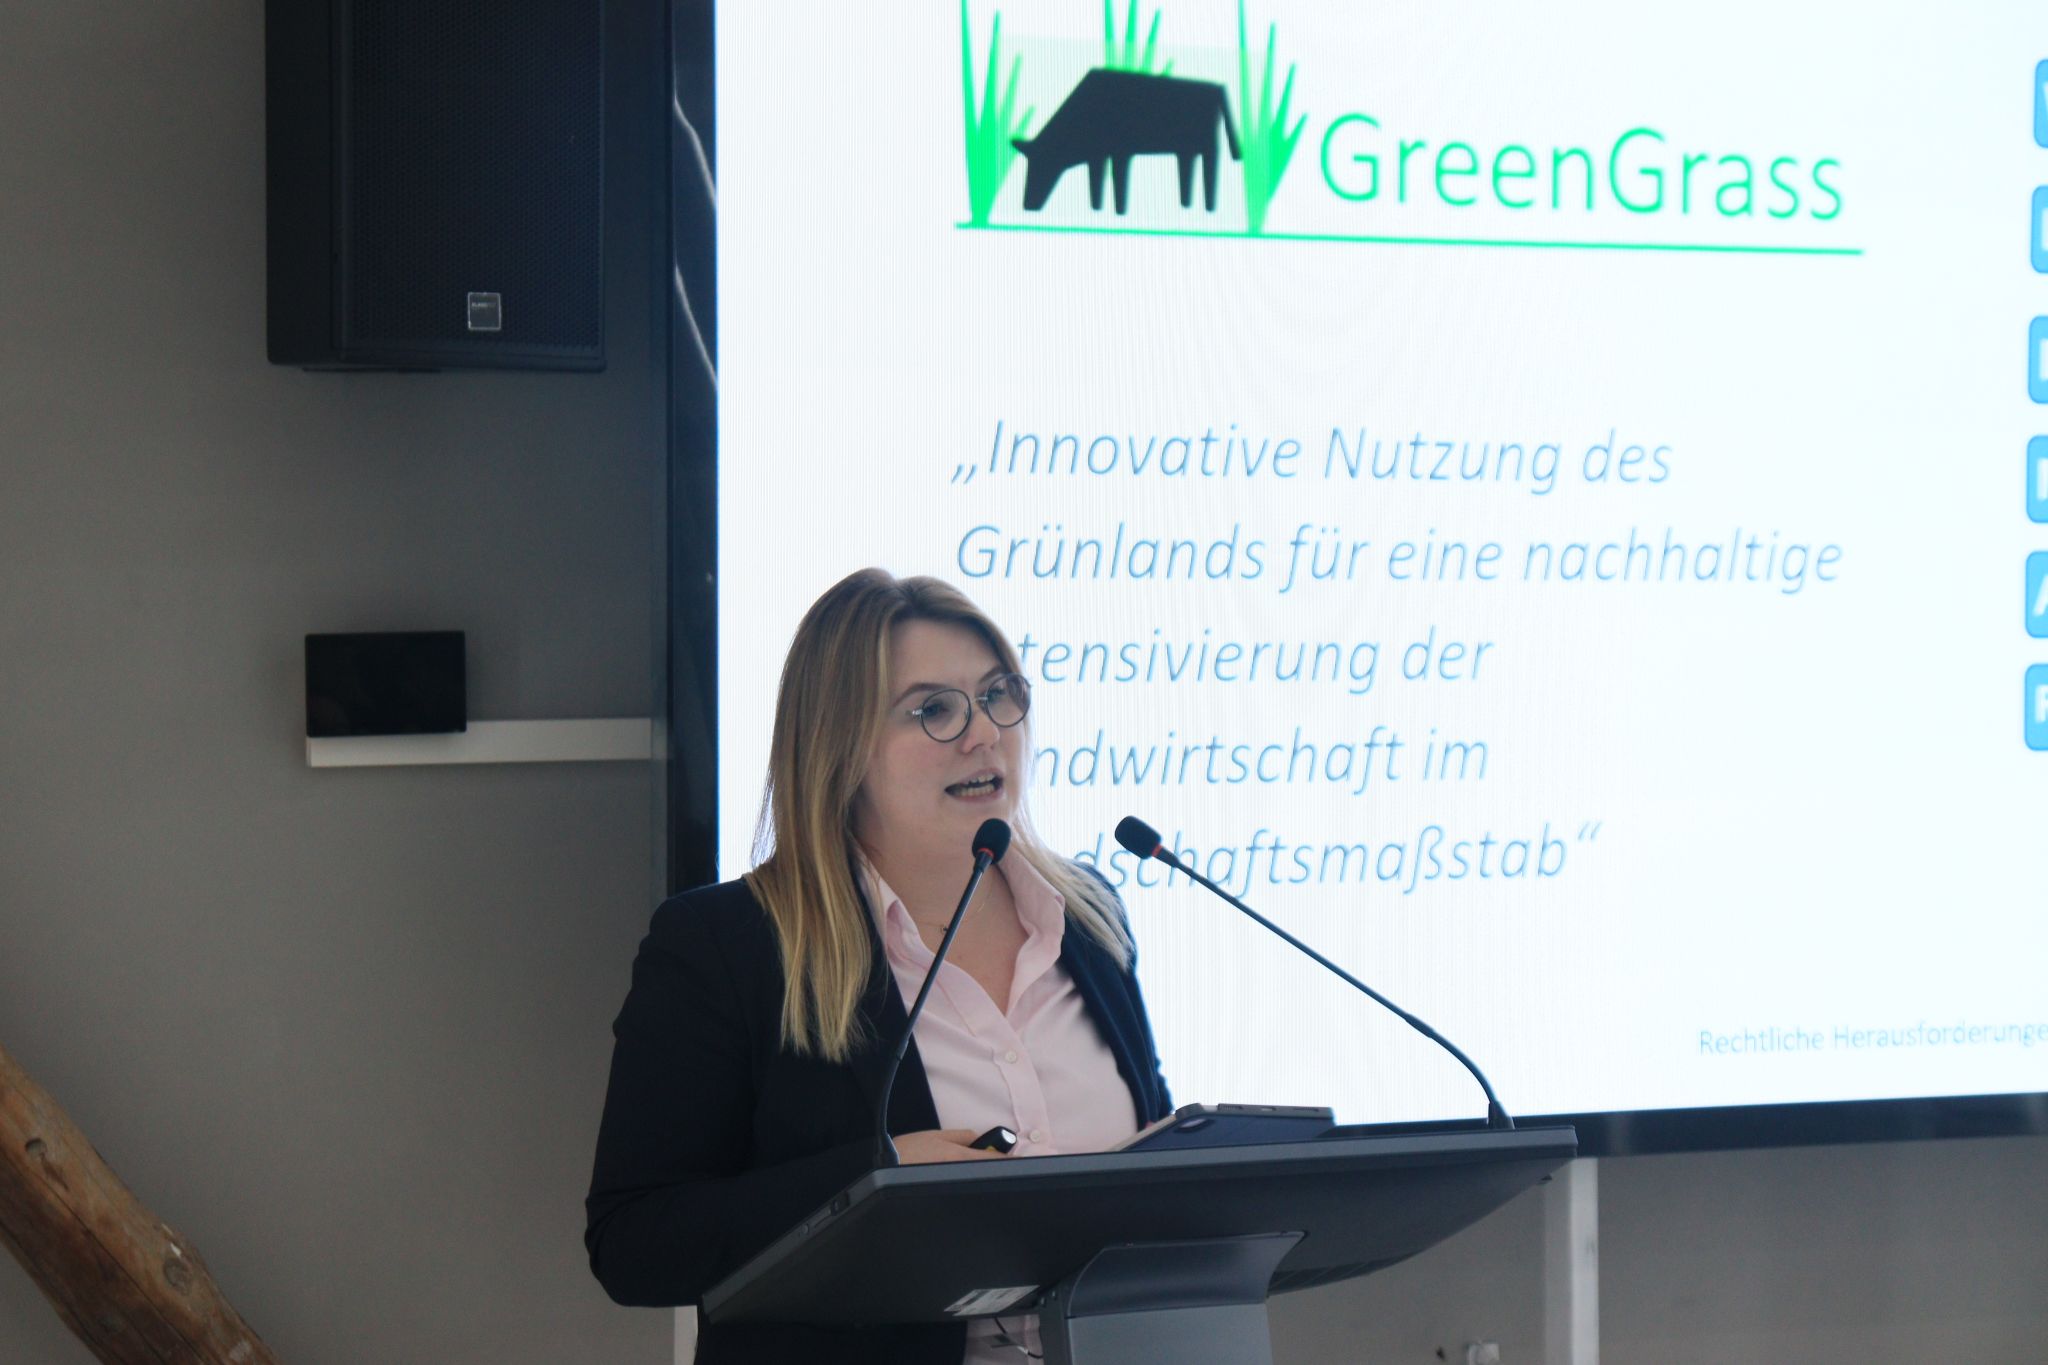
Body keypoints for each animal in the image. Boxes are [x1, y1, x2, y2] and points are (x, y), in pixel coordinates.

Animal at [1012, 68, 1242, 216]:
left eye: (1042, 165)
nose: (1028, 206)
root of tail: (1218, 89)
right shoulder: (1098, 156)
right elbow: (1095, 184)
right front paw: (1097, 209)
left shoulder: (1121, 152)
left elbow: (1119, 184)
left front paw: (1119, 211)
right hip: (1187, 149)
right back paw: (1186, 205)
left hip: (1209, 147)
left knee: (1210, 172)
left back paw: (1208, 208)